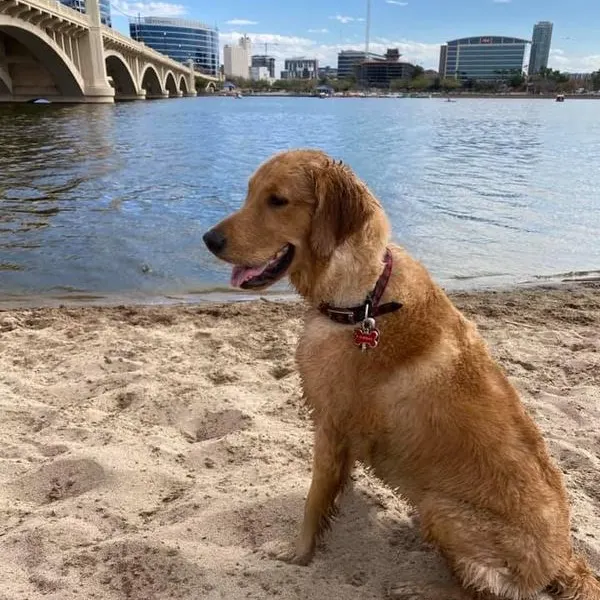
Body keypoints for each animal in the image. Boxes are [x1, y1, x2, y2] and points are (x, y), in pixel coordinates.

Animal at [203, 149, 600, 600]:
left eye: (277, 200)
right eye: (250, 193)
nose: (209, 240)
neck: (363, 299)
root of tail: (564, 558)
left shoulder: (330, 425)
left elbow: (313, 500)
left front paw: (298, 553)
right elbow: (332, 489)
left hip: (441, 507)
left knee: (483, 590)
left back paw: (420, 587)